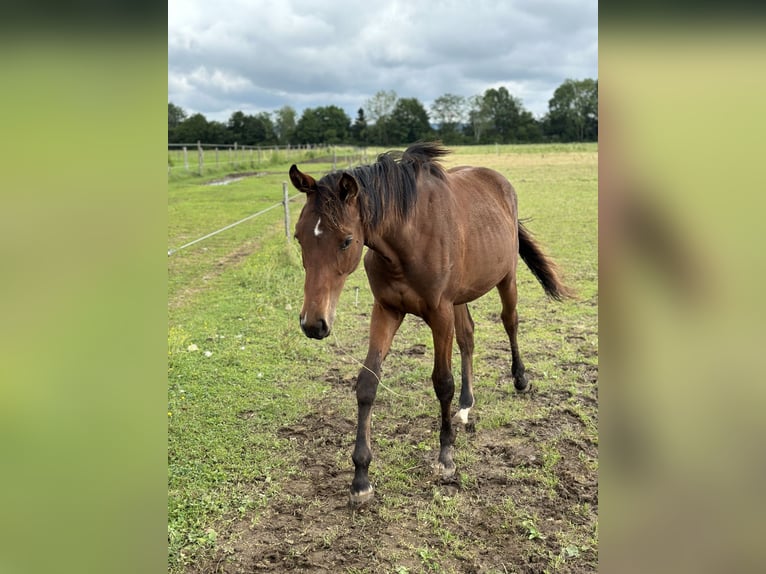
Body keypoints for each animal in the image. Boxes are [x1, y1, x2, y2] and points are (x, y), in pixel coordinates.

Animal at [292, 144, 572, 508]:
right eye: (299, 237)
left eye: (346, 240)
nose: (313, 323)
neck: (407, 241)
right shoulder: (387, 310)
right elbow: (368, 383)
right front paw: (361, 478)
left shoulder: (439, 314)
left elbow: (443, 382)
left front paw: (446, 457)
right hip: (460, 298)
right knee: (468, 338)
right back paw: (466, 406)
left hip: (506, 277)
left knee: (510, 322)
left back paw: (520, 379)